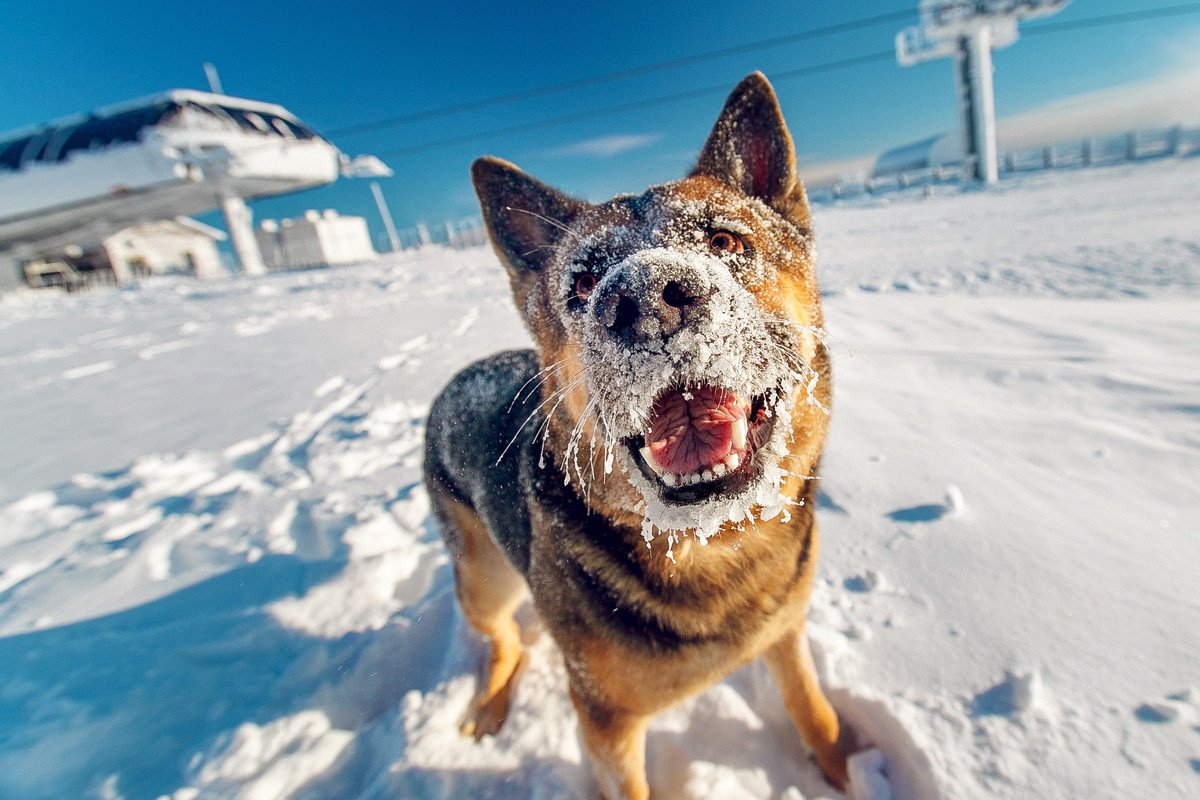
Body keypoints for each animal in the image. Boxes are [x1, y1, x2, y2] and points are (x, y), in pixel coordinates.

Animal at [427, 71, 849, 796]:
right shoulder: (606, 721)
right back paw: (490, 706)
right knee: (502, 638)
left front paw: (849, 769)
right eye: (584, 283)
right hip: (484, 577)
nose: (646, 299)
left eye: (727, 242)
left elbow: (815, 713)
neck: (711, 544)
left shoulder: (786, 634)